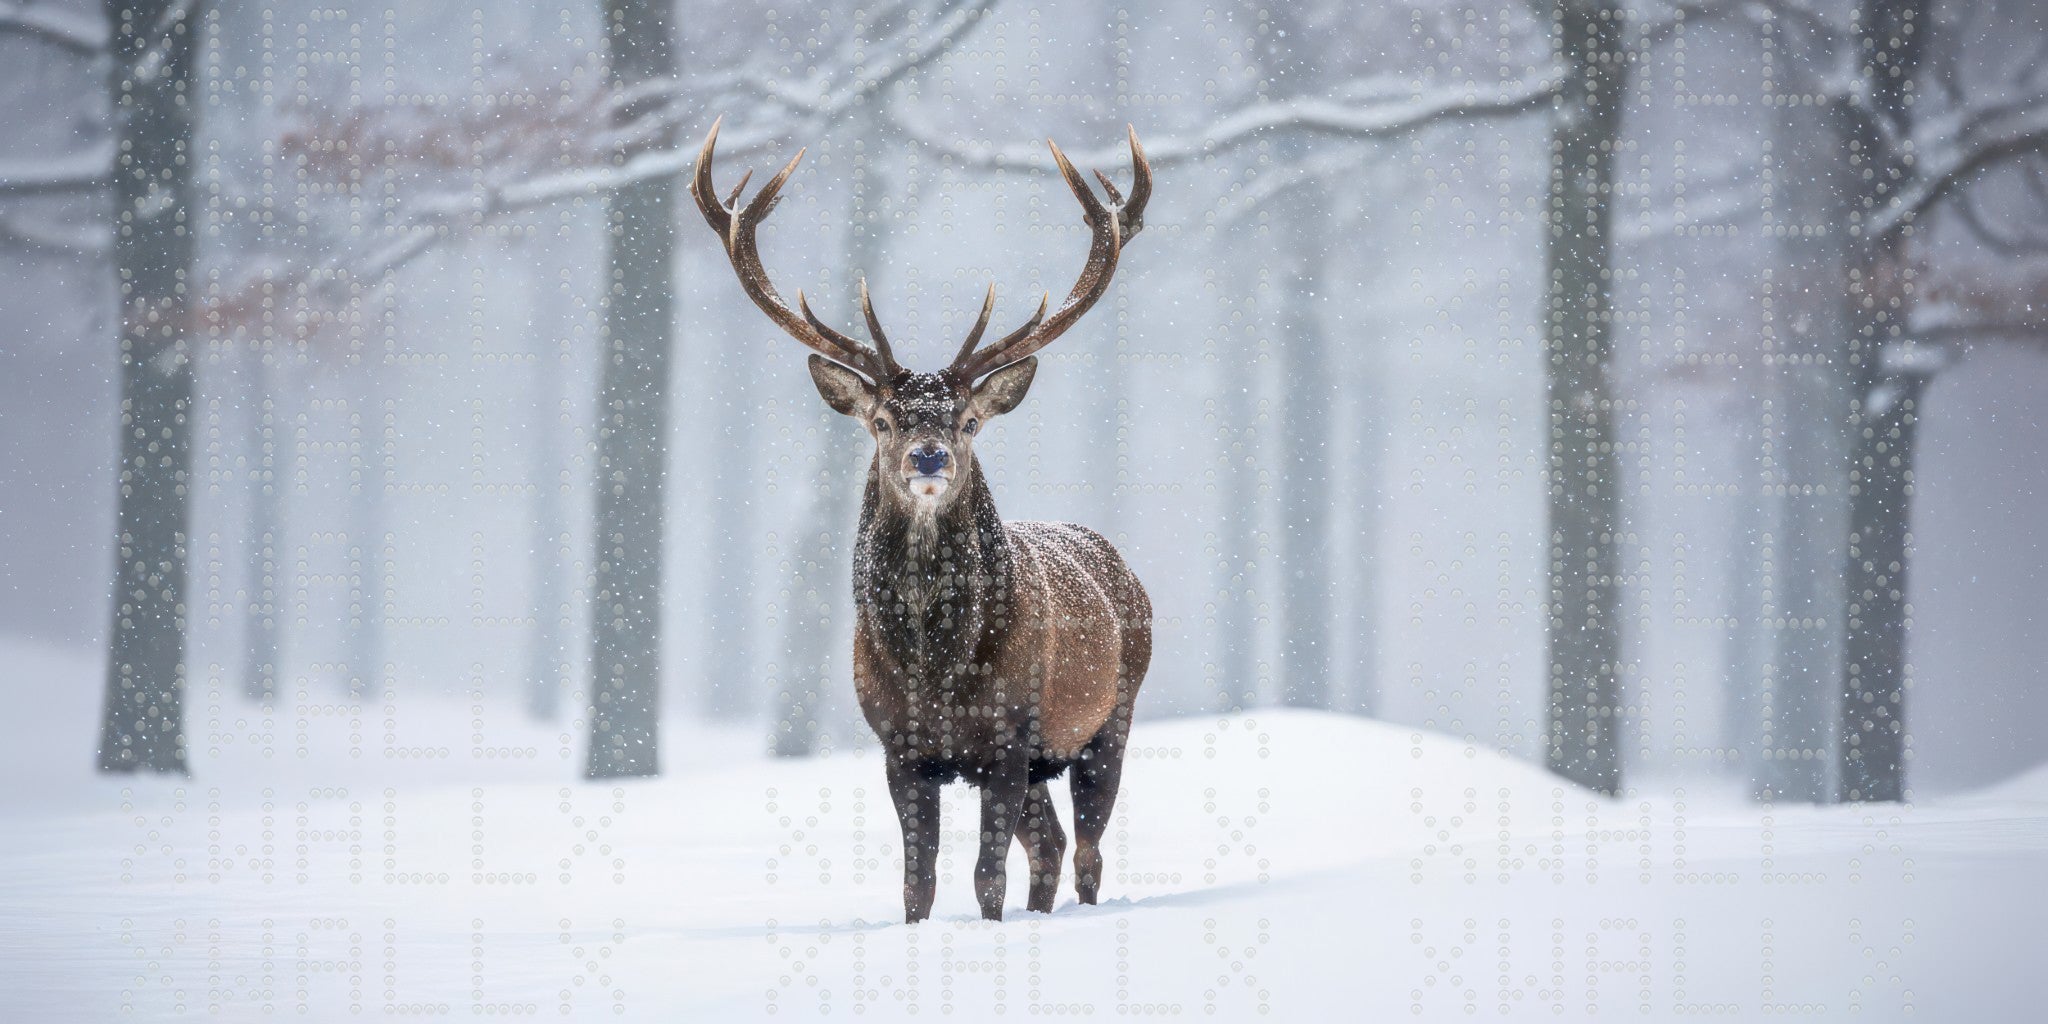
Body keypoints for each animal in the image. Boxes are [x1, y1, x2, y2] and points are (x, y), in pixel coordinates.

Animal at [689, 118, 1154, 923]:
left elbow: (985, 876)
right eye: (881, 420)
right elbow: (919, 879)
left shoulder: (1008, 736)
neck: (934, 669)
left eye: (968, 421)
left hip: (1110, 717)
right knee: (1054, 845)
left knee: (1089, 849)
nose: (928, 455)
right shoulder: (899, 747)